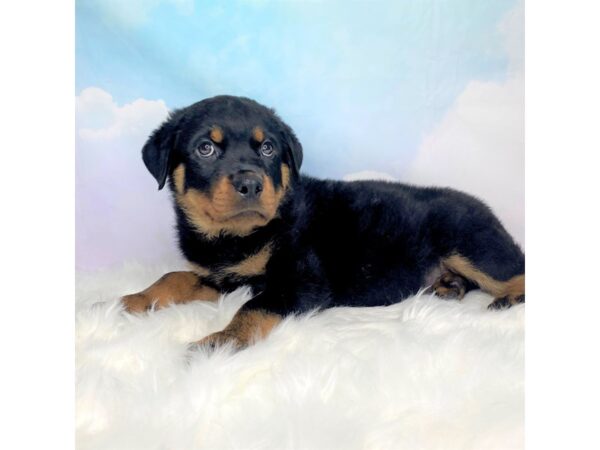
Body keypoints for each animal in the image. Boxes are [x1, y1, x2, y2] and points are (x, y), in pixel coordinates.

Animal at [123, 96, 524, 352]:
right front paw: (129, 302)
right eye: (205, 148)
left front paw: (221, 342)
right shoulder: (223, 277)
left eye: (268, 148)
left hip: (472, 243)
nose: (251, 183)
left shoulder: (300, 281)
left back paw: (506, 298)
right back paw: (449, 286)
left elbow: (253, 308)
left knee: (514, 270)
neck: (234, 237)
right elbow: (174, 277)